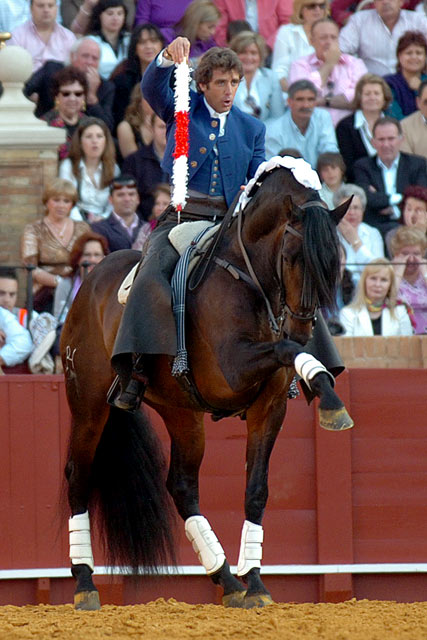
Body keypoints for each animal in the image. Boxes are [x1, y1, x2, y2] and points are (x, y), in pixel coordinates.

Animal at [61, 164, 354, 608]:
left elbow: (256, 490)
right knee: (79, 473)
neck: (249, 277)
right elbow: (284, 349)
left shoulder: (269, 406)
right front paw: (332, 402)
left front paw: (256, 584)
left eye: (333, 262)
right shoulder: (233, 369)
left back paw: (228, 581)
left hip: (181, 412)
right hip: (88, 406)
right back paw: (84, 585)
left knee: (182, 485)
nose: (303, 329)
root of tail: (89, 284)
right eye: (291, 255)